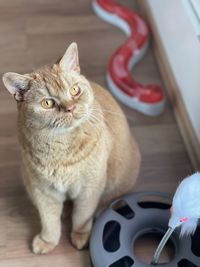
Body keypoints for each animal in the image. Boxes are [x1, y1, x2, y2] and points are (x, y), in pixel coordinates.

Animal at [1, 42, 141, 255]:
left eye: (75, 90)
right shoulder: (43, 192)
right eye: (47, 103)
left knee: (109, 200)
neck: (61, 147)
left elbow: (82, 216)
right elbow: (49, 221)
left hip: (117, 181)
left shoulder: (90, 188)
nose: (70, 108)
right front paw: (48, 241)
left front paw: (81, 236)